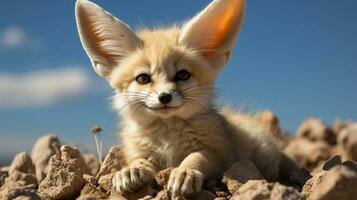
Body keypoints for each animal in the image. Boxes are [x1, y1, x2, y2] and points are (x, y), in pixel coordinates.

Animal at [74, 0, 306, 197]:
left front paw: (185, 173)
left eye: (182, 75)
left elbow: (196, 157)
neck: (168, 137)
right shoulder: (141, 151)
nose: (165, 96)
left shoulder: (219, 152)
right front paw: (130, 170)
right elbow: (142, 161)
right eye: (143, 78)